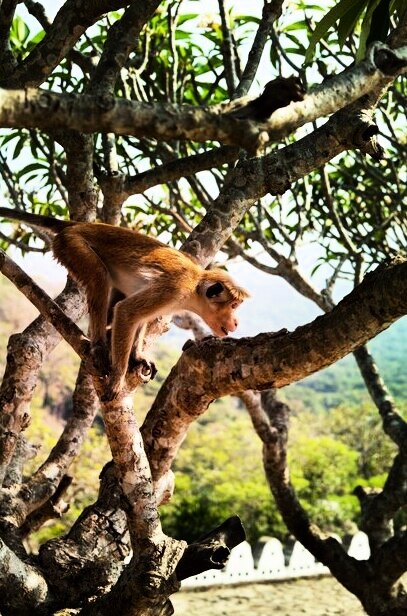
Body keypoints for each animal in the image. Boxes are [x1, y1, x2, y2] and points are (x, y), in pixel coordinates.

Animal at [0, 207, 250, 400]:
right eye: (233, 306)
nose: (237, 322)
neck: (195, 288)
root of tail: (78, 225)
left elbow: (139, 318)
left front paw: (137, 356)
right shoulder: (174, 288)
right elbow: (127, 313)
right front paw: (118, 378)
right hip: (73, 244)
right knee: (99, 278)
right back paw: (99, 344)